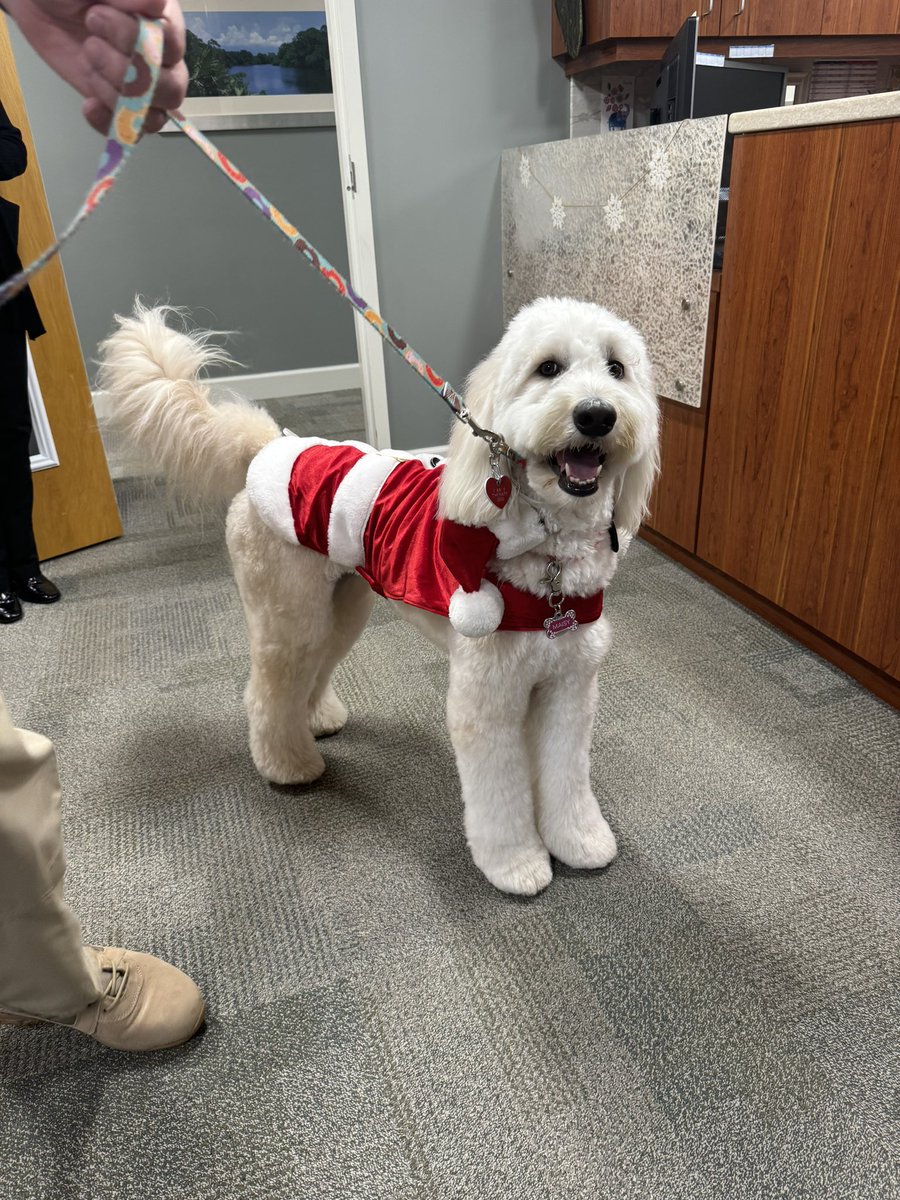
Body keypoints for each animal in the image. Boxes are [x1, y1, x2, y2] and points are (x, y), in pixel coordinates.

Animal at [100, 300, 662, 897]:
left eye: (617, 369)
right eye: (548, 368)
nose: (596, 415)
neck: (549, 552)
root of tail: (269, 445)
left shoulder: (569, 687)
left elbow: (566, 773)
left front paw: (579, 839)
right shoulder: (486, 698)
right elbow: (500, 794)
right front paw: (514, 863)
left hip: (342, 608)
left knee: (311, 673)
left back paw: (316, 720)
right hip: (288, 614)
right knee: (265, 692)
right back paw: (288, 764)